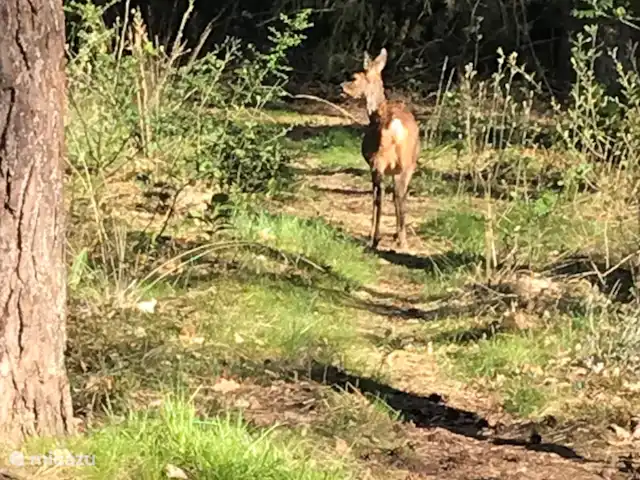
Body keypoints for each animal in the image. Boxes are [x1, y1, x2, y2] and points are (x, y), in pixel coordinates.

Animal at [341, 48, 420, 251]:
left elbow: (377, 195)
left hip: (379, 160)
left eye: (354, 77)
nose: (341, 87)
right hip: (408, 164)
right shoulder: (397, 169)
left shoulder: (372, 162)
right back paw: (401, 239)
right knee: (399, 194)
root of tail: (394, 126)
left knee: (381, 194)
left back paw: (376, 238)